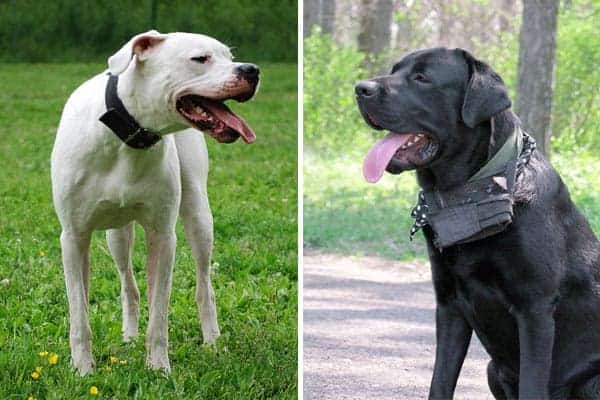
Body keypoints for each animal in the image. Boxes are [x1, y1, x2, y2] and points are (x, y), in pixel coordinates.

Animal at [49, 31, 258, 376]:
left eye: (229, 57)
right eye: (200, 59)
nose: (252, 70)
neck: (127, 137)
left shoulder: (163, 236)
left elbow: (159, 312)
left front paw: (158, 367)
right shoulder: (74, 237)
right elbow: (79, 314)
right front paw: (83, 370)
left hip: (199, 216)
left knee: (204, 285)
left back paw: (212, 341)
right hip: (116, 235)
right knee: (129, 285)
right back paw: (129, 337)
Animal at [354, 47, 600, 400]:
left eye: (422, 77)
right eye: (394, 69)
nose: (360, 88)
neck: (471, 196)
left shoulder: (535, 308)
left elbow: (532, 385)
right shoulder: (449, 304)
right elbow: (440, 383)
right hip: (493, 370)